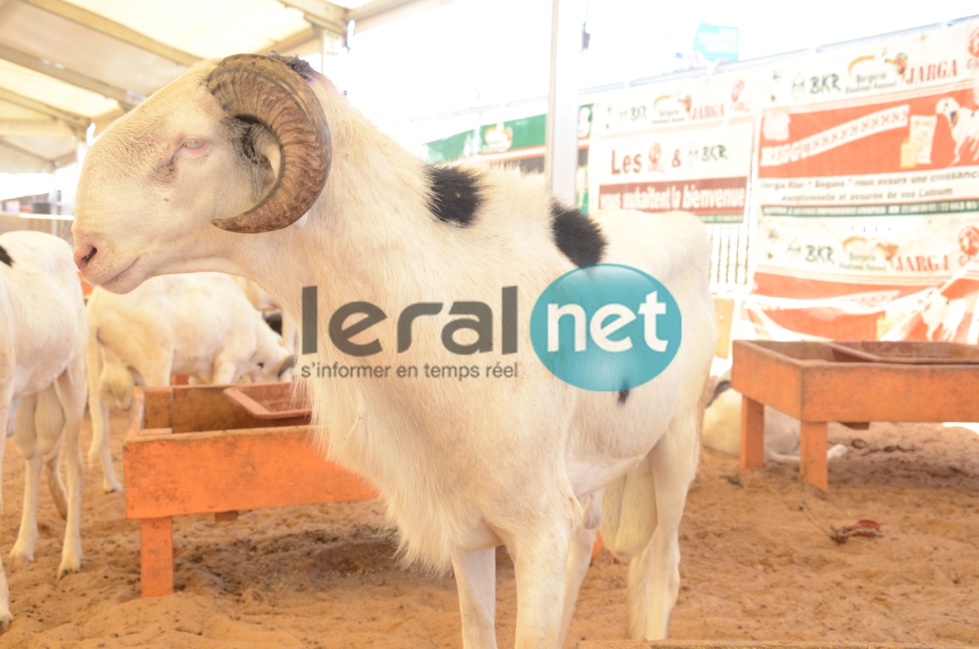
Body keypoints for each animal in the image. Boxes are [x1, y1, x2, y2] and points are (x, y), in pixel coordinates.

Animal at [85, 270, 294, 492]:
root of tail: (96, 308)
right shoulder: (227, 363)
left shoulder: (198, 373)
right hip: (156, 364)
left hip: (98, 369)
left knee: (102, 430)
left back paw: (111, 484)